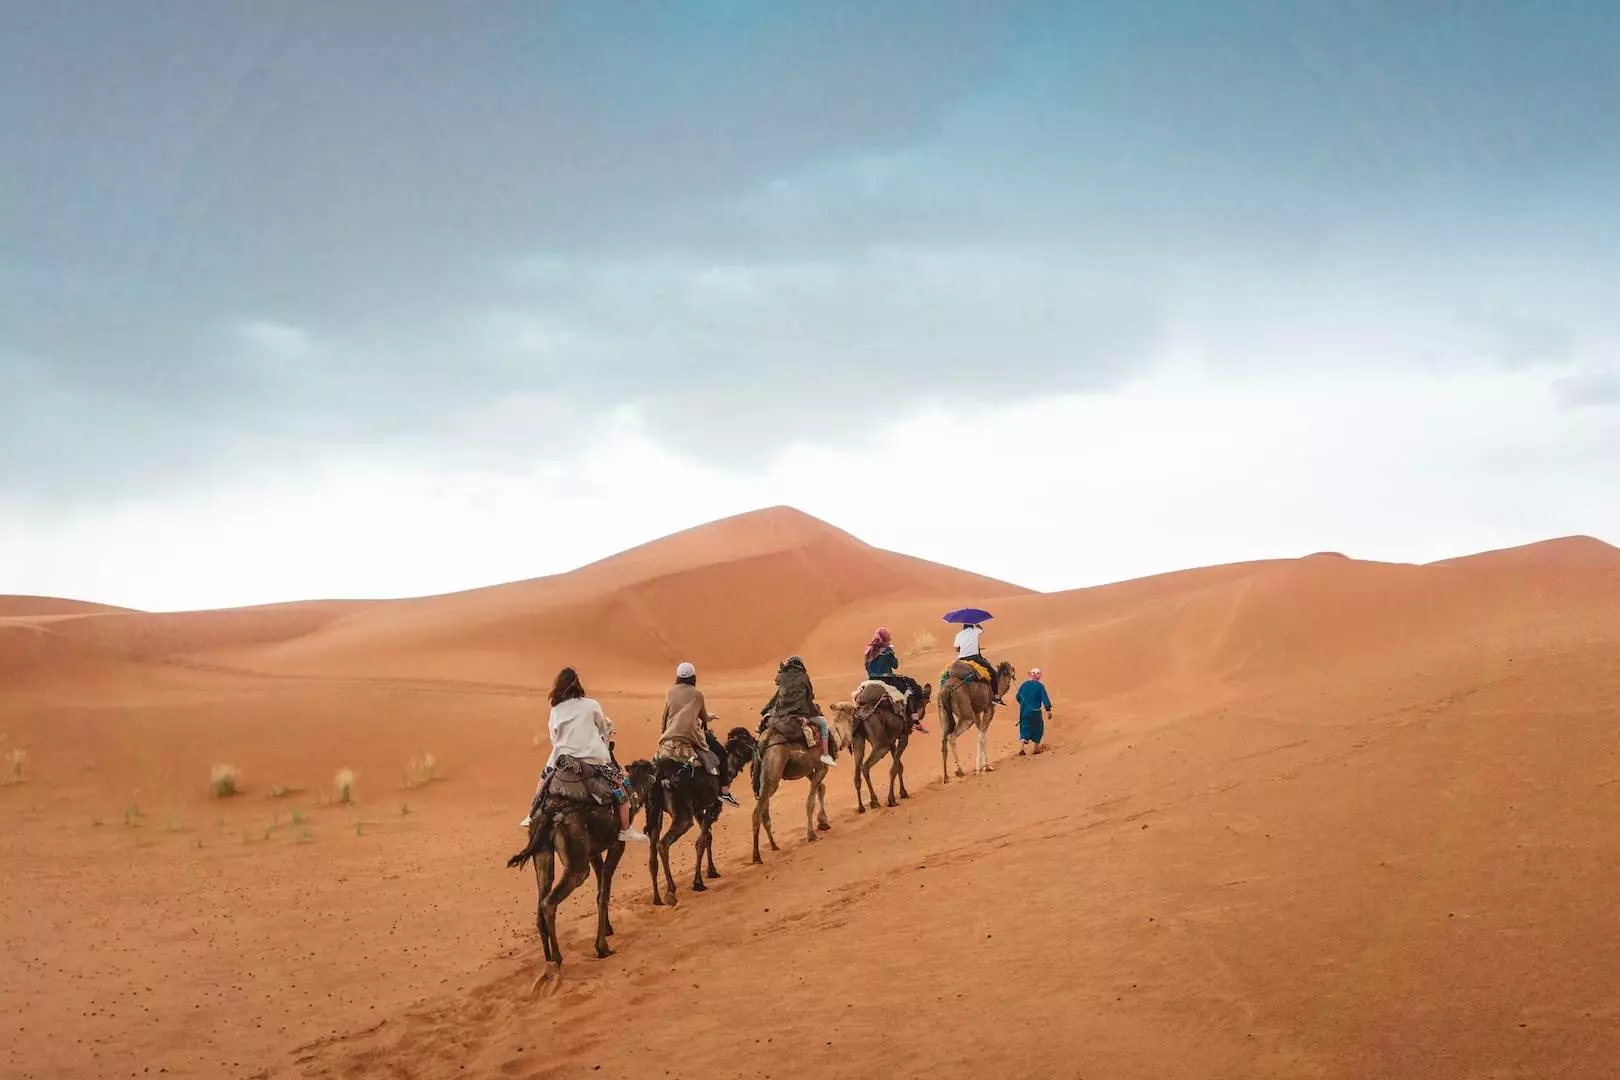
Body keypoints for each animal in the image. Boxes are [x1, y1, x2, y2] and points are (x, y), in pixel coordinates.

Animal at [508, 757, 654, 990]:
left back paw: (548, 963)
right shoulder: (616, 845)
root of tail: (551, 809)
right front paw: (603, 947)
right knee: (550, 902)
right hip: (576, 862)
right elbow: (604, 893)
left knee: (541, 903)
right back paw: (557, 961)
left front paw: (608, 930)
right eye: (653, 773)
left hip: (542, 853)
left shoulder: (593, 851)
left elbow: (600, 885)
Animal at [644, 731, 758, 906]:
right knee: (663, 844)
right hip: (683, 816)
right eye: (747, 738)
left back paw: (657, 899)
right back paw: (671, 891)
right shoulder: (713, 805)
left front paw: (712, 871)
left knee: (652, 854)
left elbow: (708, 836)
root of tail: (659, 777)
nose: (757, 742)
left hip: (655, 813)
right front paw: (698, 882)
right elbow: (701, 841)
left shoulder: (698, 809)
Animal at [751, 712, 842, 867]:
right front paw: (811, 835)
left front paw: (823, 822)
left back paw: (774, 845)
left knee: (764, 809)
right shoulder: (822, 767)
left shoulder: (808, 769)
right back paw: (756, 857)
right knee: (757, 813)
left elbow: (821, 789)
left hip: (765, 777)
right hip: (775, 765)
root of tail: (764, 741)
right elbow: (810, 802)